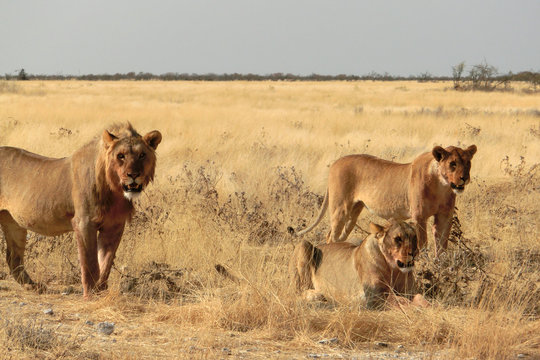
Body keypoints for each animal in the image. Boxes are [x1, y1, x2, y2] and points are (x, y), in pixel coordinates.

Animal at [0, 122, 161, 296]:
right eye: (121, 156)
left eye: (142, 155)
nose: (133, 174)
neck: (115, 191)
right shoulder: (84, 222)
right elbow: (90, 262)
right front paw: (90, 293)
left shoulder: (114, 226)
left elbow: (105, 262)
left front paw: (100, 290)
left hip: (13, 223)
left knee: (13, 257)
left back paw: (32, 286)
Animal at [288, 219, 428, 310]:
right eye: (398, 239)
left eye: (414, 237)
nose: (414, 253)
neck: (393, 269)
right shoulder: (373, 297)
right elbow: (398, 300)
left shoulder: (408, 291)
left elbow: (418, 296)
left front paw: (426, 304)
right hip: (304, 245)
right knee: (297, 292)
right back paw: (316, 295)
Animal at [292, 145, 476, 255]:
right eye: (452, 164)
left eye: (468, 163)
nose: (464, 178)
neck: (442, 186)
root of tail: (335, 163)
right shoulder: (419, 217)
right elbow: (423, 245)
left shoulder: (445, 216)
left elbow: (442, 246)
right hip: (340, 208)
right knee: (331, 236)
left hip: (353, 213)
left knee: (338, 236)